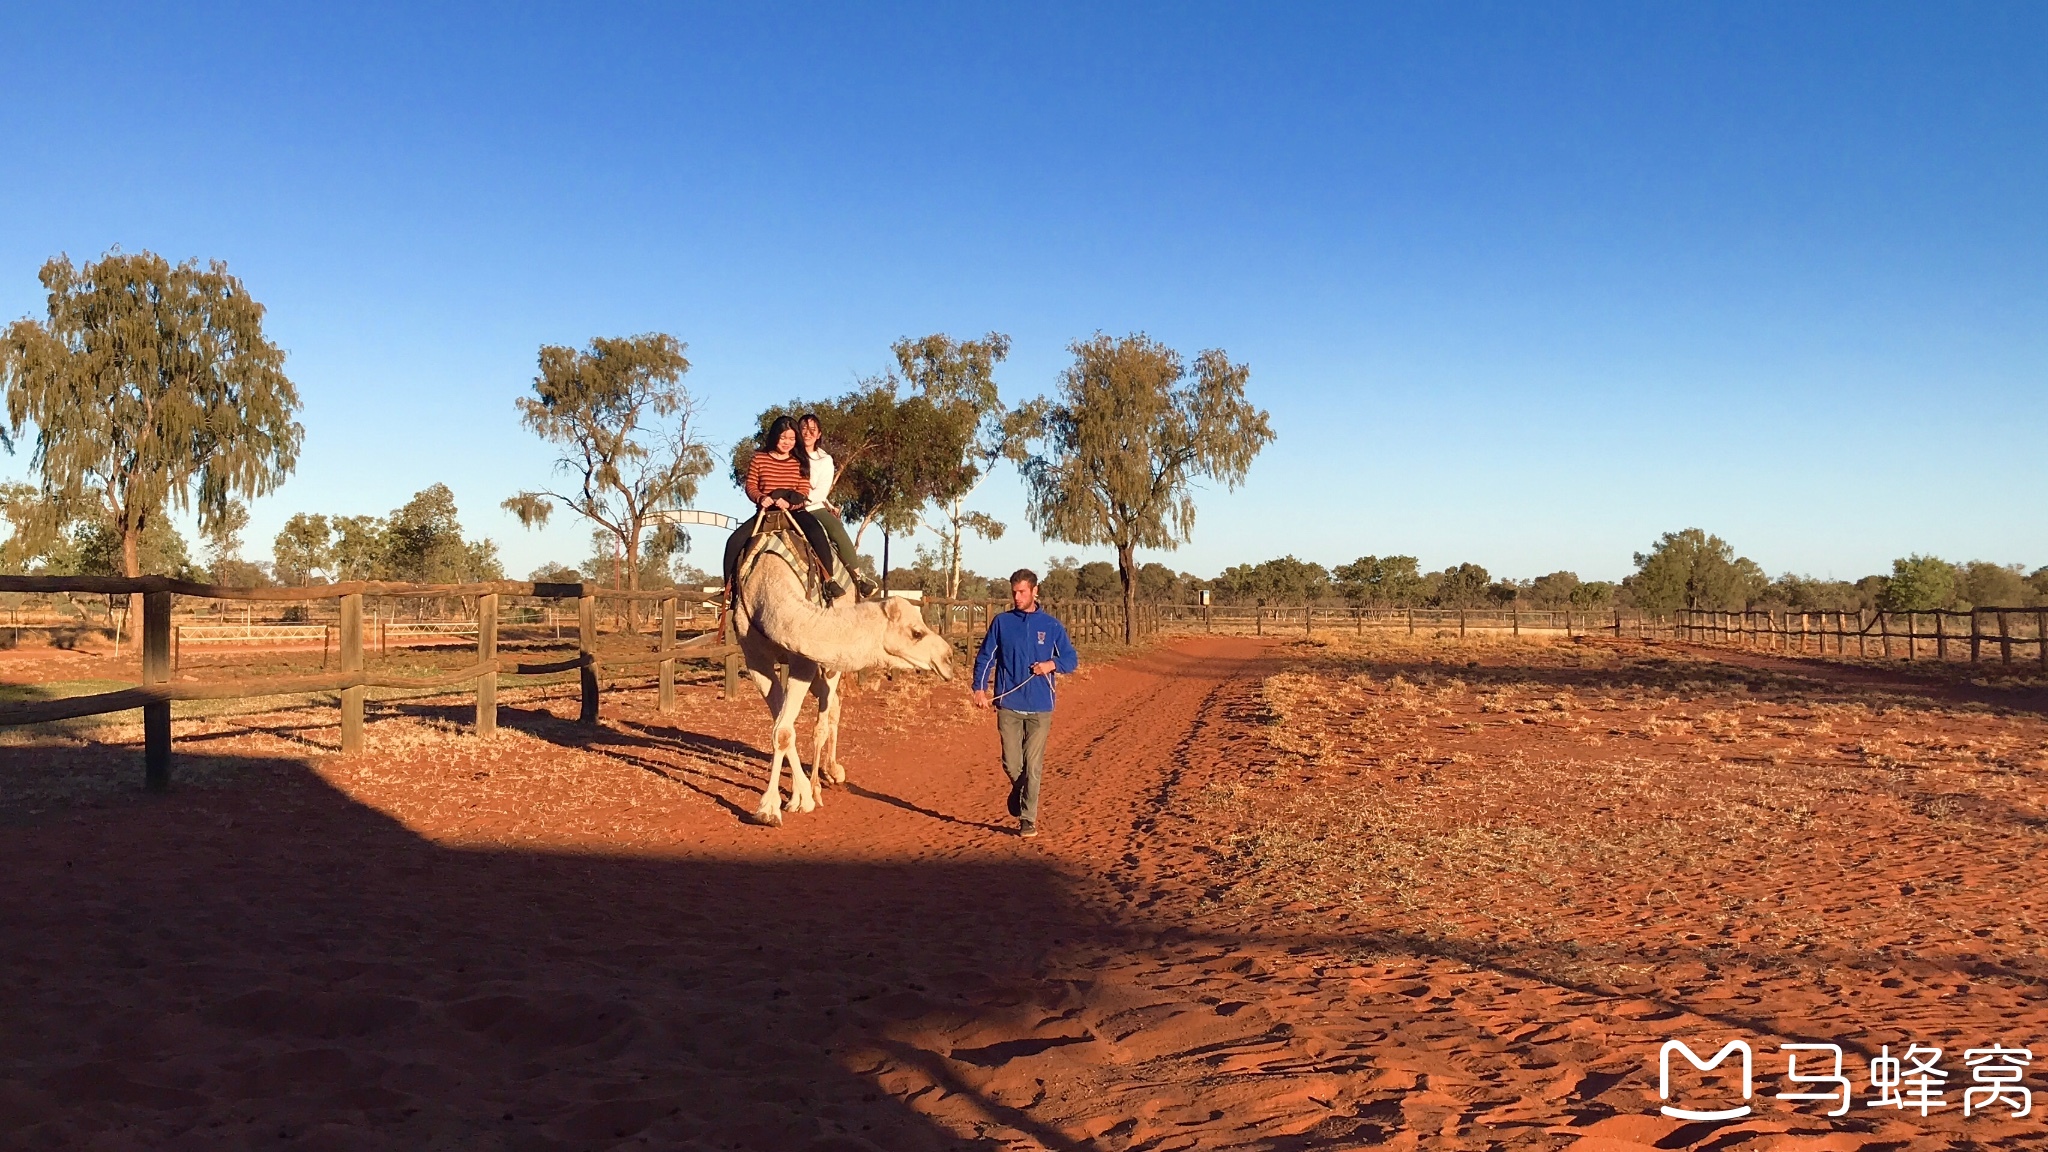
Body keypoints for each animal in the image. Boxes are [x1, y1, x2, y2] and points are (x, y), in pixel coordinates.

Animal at [729, 516, 950, 819]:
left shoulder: (805, 660)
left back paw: (828, 776)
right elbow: (783, 729)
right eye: (916, 632)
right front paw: (775, 806)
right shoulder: (754, 657)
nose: (947, 658)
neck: (766, 583)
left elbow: (793, 728)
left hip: (829, 665)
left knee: (829, 712)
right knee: (828, 707)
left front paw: (801, 797)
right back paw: (826, 774)